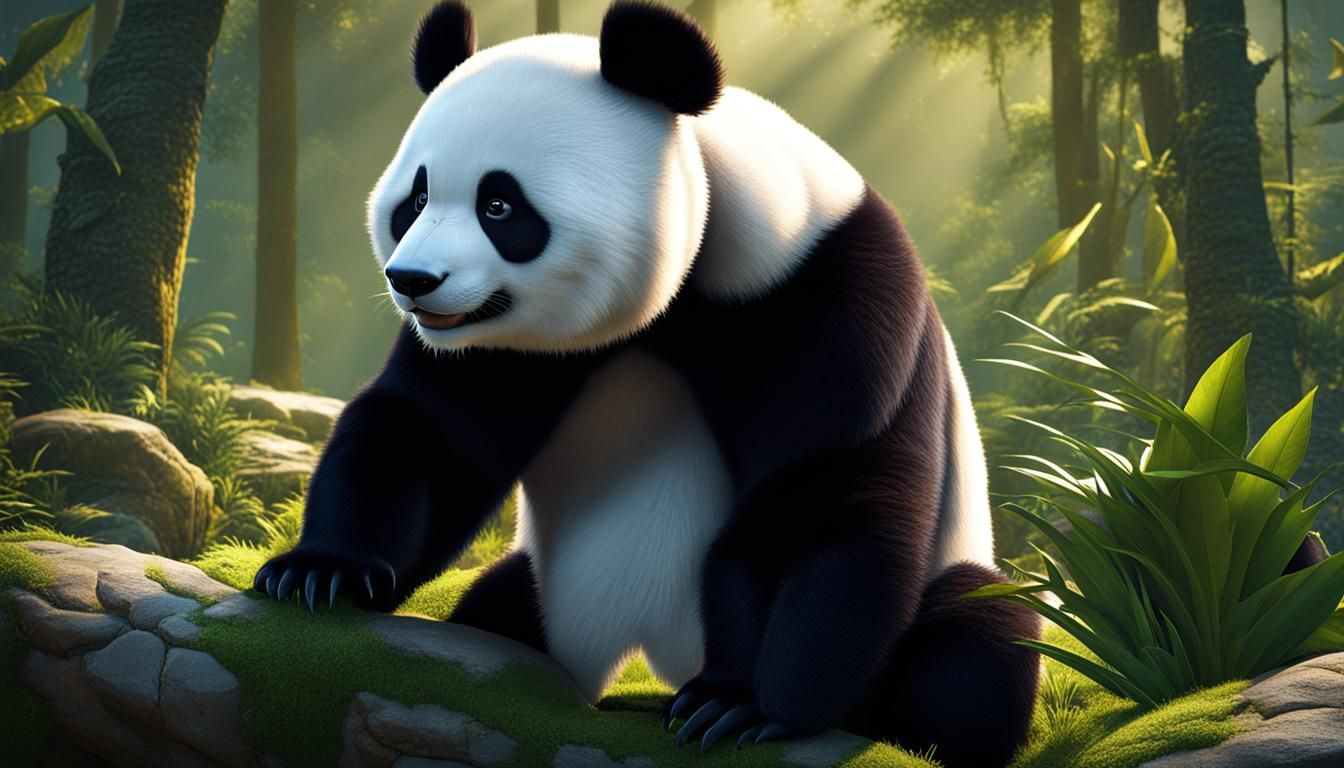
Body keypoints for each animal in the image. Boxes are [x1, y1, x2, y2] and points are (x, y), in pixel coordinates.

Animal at [254, 2, 1042, 765]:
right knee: (497, 610)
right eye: (413, 201)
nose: (412, 281)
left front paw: (747, 703)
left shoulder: (822, 290)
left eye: (499, 206)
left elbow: (821, 489)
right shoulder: (501, 350)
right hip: (538, 587)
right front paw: (325, 572)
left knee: (974, 647)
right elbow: (430, 432)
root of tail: (641, 655)